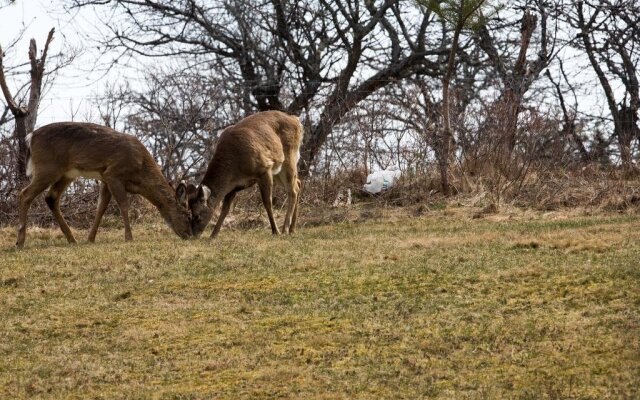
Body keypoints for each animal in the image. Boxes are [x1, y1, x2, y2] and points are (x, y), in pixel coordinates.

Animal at [15, 122, 192, 247]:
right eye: (187, 214)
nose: (189, 235)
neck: (140, 171)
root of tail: (31, 137)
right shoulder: (113, 173)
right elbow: (123, 205)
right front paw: (129, 237)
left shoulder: (106, 179)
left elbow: (101, 207)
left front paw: (90, 238)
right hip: (48, 167)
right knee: (25, 194)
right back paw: (20, 242)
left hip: (66, 173)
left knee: (51, 198)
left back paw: (72, 239)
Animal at [186, 109, 304, 238]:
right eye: (188, 214)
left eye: (197, 215)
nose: (193, 235)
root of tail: (296, 120)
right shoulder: (233, 186)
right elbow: (225, 209)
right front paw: (213, 235)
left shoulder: (264, 168)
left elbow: (267, 202)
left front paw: (275, 231)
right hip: (278, 169)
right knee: (298, 183)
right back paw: (292, 229)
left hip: (289, 158)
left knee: (293, 190)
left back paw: (285, 229)